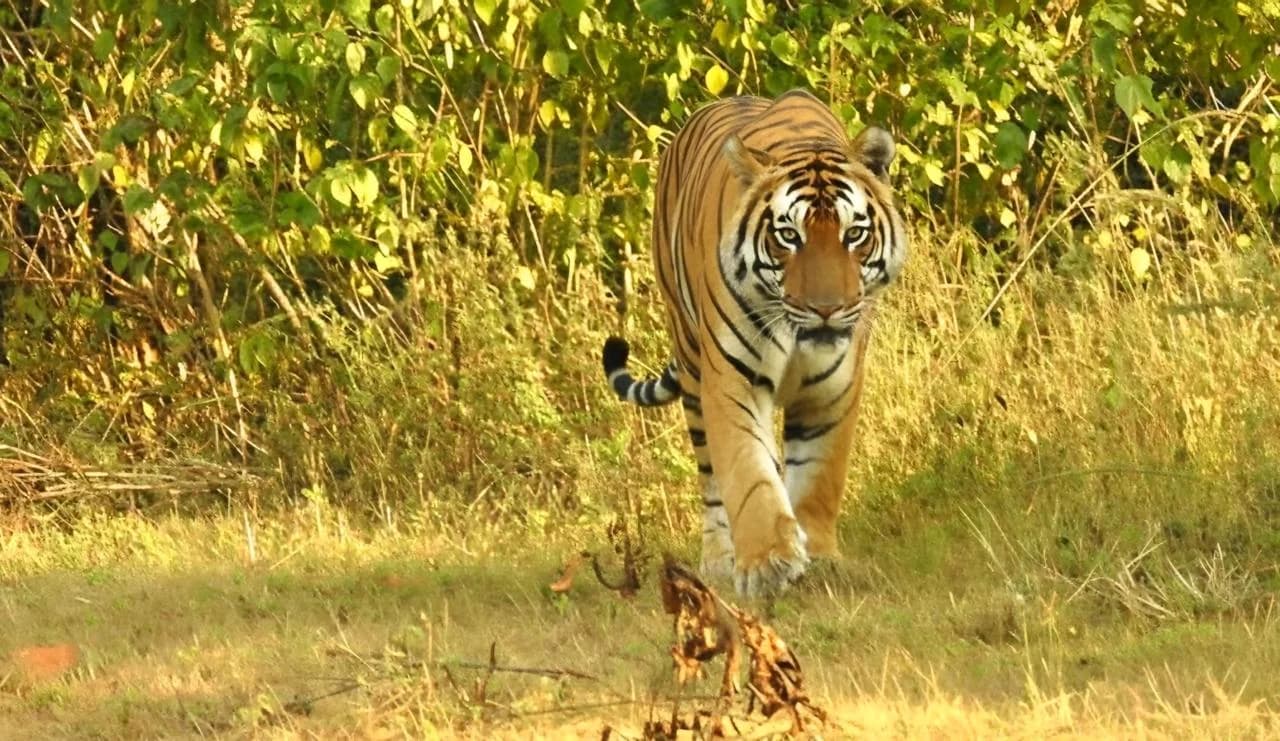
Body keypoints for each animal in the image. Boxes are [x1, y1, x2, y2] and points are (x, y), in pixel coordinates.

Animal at [602, 89, 908, 597]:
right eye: (788, 235)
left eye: (854, 234)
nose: (826, 308)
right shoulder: (732, 381)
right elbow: (749, 476)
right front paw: (766, 563)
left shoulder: (835, 390)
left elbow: (819, 476)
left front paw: (819, 559)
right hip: (692, 367)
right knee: (711, 478)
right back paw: (718, 562)